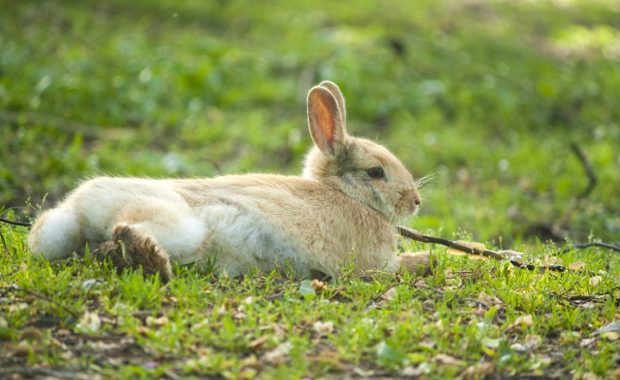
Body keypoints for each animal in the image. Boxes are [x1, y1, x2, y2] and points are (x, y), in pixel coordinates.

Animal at [26, 81, 428, 282]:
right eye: (376, 172)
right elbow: (394, 268)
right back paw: (148, 259)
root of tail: (78, 210)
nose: (415, 201)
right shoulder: (374, 263)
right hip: (179, 225)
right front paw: (423, 260)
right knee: (128, 231)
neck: (347, 195)